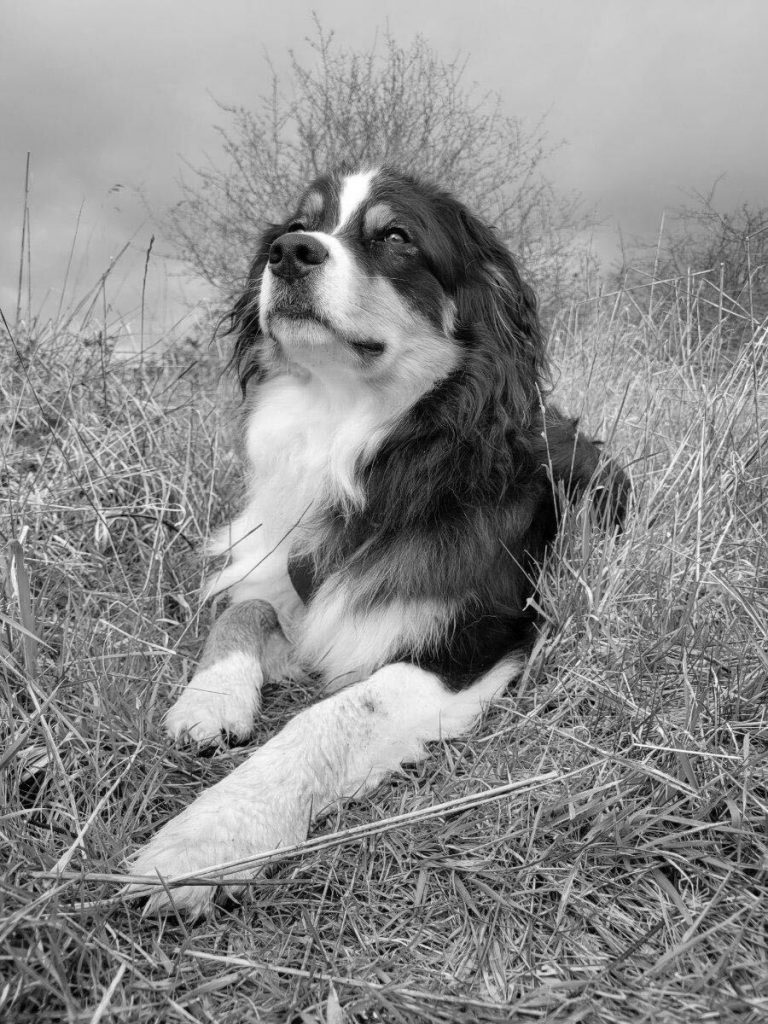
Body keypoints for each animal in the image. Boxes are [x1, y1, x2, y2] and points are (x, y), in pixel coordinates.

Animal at [128, 163, 630, 917]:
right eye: (294, 225)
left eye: (395, 237)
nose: (290, 253)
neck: (351, 426)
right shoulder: (286, 563)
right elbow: (246, 608)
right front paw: (210, 700)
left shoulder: (476, 637)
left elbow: (334, 716)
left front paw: (210, 836)